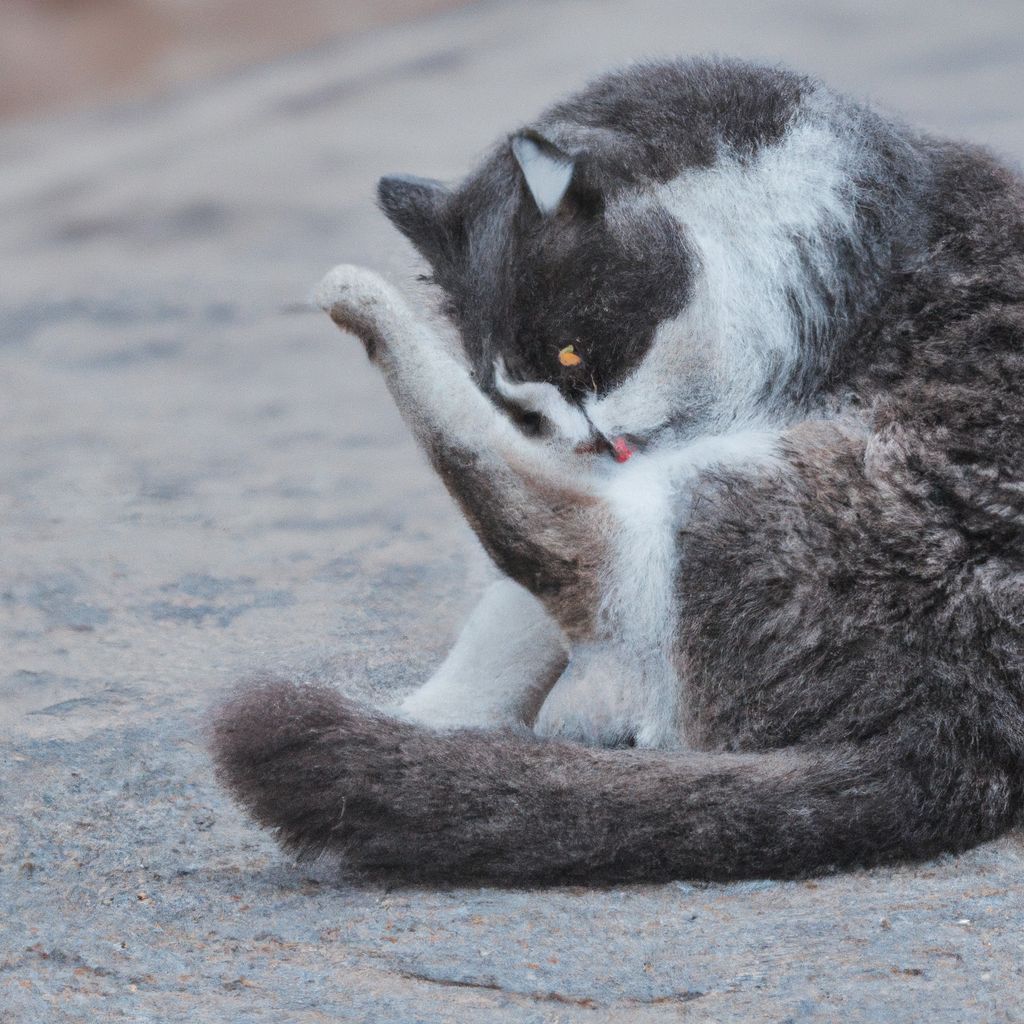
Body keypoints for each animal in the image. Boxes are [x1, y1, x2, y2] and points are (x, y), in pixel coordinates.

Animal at [211, 59, 1024, 884]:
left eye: (572, 353)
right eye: (521, 405)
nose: (584, 440)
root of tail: (968, 729)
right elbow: (510, 619)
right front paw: (437, 721)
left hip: (819, 503)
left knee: (566, 551)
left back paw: (368, 310)